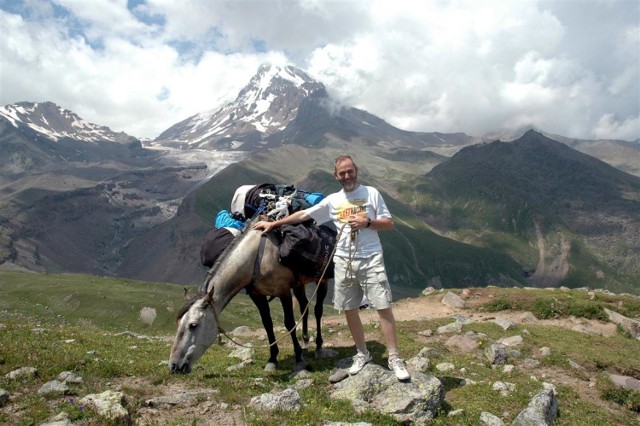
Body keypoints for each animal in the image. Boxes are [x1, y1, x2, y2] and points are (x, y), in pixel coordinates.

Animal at [169, 220, 330, 372]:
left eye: (193, 325)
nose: (174, 366)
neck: (256, 257)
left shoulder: (283, 291)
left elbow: (289, 323)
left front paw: (298, 359)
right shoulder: (257, 295)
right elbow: (267, 324)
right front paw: (272, 359)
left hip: (322, 279)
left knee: (318, 310)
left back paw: (319, 347)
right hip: (298, 285)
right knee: (304, 307)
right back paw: (305, 344)